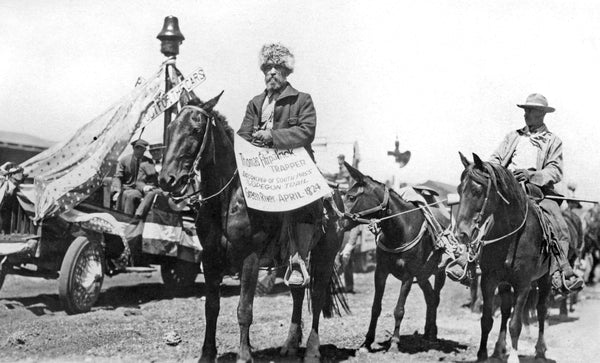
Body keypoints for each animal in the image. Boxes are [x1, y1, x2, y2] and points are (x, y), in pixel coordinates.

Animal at [159, 93, 346, 363]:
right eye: (171, 127)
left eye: (195, 130)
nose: (167, 179)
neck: (229, 199)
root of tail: (336, 194)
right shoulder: (210, 258)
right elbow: (211, 308)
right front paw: (207, 354)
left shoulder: (250, 258)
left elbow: (244, 309)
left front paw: (245, 355)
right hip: (295, 259)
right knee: (298, 291)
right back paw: (290, 344)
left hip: (325, 256)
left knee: (318, 295)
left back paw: (312, 350)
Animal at [340, 164, 448, 354]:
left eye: (351, 197)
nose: (338, 222)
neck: (400, 230)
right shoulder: (380, 272)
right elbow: (375, 308)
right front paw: (367, 342)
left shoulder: (408, 276)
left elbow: (399, 310)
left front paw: (395, 342)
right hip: (422, 275)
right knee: (430, 298)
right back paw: (427, 333)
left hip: (438, 272)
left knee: (435, 298)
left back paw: (433, 335)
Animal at [454, 154, 552, 363]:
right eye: (459, 189)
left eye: (477, 191)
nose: (462, 234)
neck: (511, 233)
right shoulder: (489, 280)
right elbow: (487, 320)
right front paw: (482, 354)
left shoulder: (524, 285)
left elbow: (516, 324)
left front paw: (514, 357)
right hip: (506, 284)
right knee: (506, 311)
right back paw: (499, 349)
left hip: (545, 279)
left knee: (541, 310)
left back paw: (540, 350)